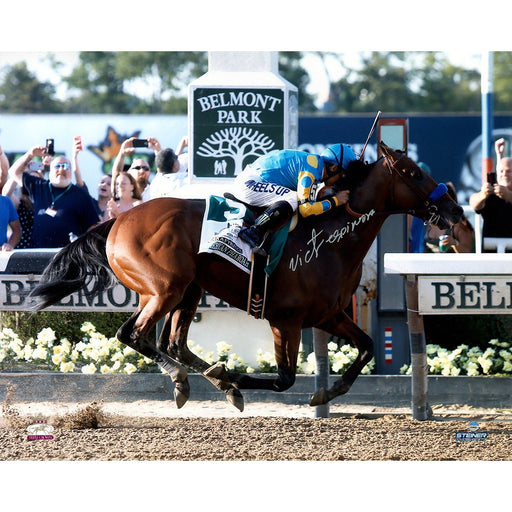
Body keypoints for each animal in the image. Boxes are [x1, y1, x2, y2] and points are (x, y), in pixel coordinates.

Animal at [31, 141, 464, 412]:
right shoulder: (285, 320)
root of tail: (117, 220)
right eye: (413, 173)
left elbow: (369, 346)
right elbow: (284, 378)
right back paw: (192, 379)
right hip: (164, 288)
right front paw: (233, 375)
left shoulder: (328, 315)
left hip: (188, 289)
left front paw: (329, 392)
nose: (456, 209)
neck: (330, 239)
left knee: (174, 343)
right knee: (132, 334)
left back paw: (205, 381)